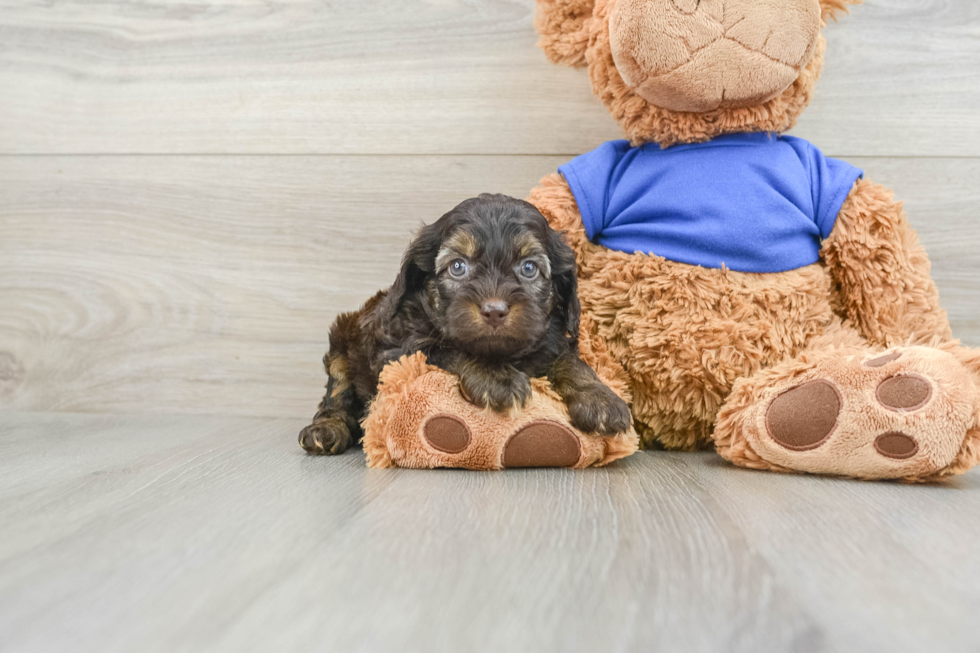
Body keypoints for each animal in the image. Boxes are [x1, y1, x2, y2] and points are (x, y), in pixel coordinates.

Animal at [298, 194, 632, 454]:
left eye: (529, 268)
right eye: (458, 267)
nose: (494, 311)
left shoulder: (552, 341)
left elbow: (570, 362)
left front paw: (600, 398)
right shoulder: (399, 352)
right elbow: (450, 349)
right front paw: (497, 378)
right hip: (342, 344)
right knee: (337, 397)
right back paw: (325, 430)